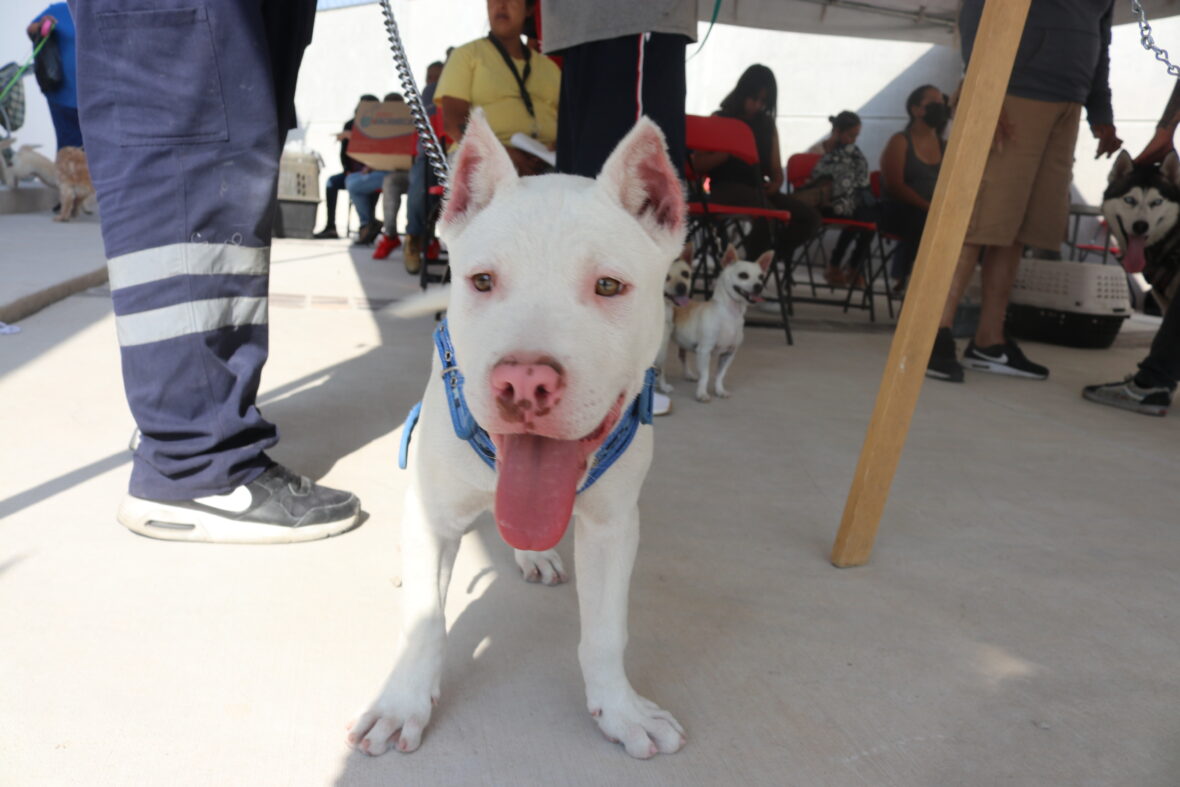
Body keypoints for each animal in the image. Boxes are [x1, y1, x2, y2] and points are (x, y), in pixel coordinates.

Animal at [344, 107, 689, 759]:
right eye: (482, 281)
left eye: (609, 286)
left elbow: (606, 630)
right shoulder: (434, 512)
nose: (524, 382)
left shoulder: (613, 527)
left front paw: (621, 711)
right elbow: (424, 621)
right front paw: (402, 704)